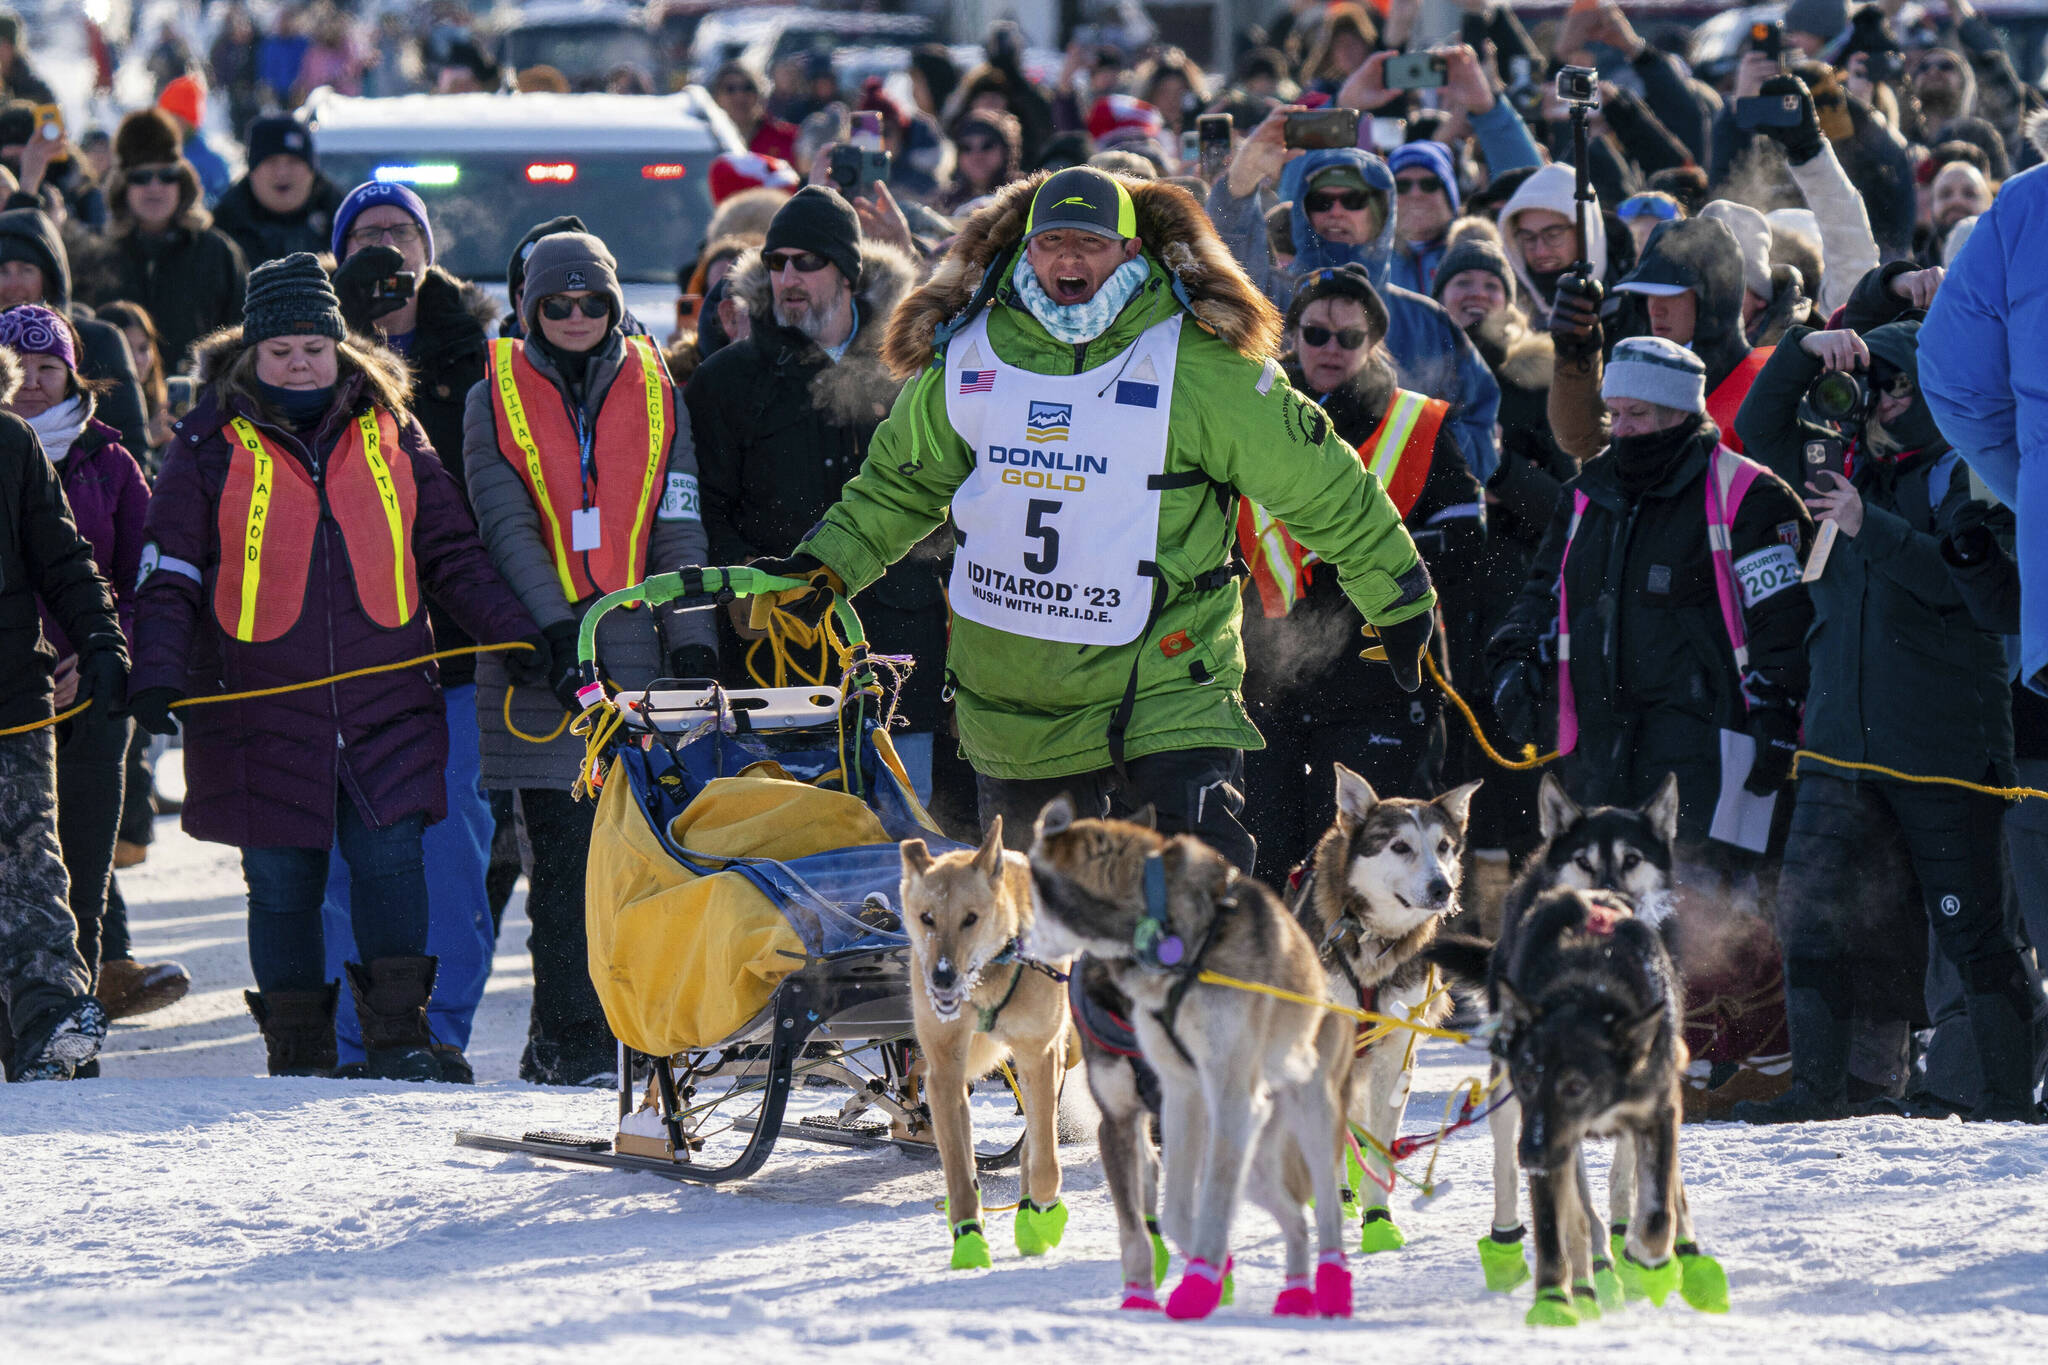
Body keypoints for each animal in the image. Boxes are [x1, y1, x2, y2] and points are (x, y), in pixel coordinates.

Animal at [905, 810, 1081, 1268]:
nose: (942, 977)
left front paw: (1042, 1215)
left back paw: (1032, 1213)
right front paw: (968, 1235)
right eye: (927, 917)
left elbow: (1044, 1158)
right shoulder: (945, 1071)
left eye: (971, 918)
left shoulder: (1038, 1055)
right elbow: (958, 1166)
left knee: (1036, 1142)